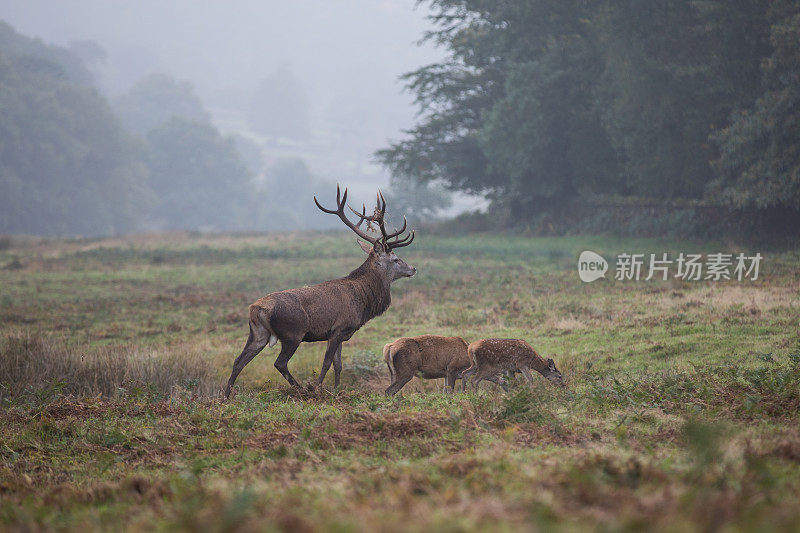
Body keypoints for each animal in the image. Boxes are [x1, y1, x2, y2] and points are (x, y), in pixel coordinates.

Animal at [223, 185, 416, 396]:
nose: (413, 268)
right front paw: (318, 388)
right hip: (293, 333)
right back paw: (302, 389)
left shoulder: (341, 334)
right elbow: (326, 363)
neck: (362, 300)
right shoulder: (339, 328)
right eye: (396, 259)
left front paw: (337, 391)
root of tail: (256, 309)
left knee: (238, 361)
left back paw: (226, 396)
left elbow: (338, 365)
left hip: (258, 334)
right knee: (279, 363)